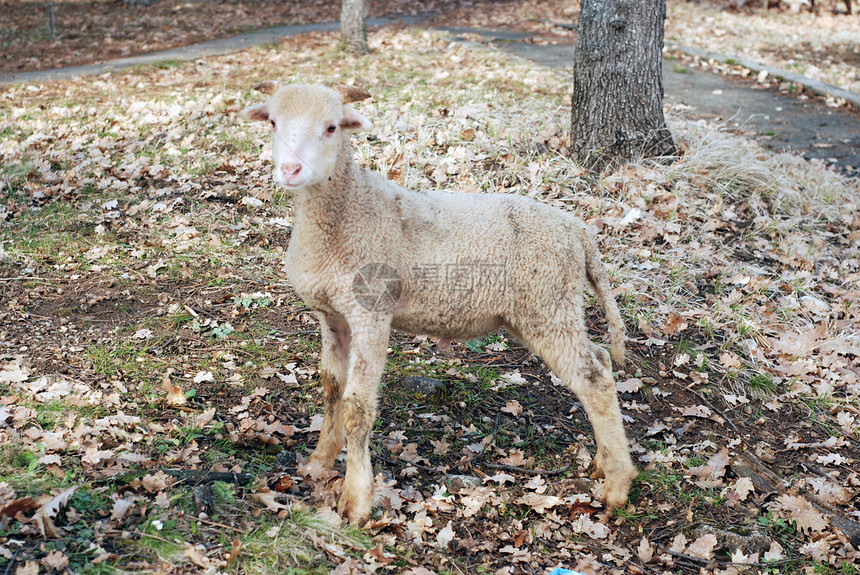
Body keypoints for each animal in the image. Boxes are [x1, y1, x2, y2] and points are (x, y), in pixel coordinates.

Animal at [239, 82, 636, 528]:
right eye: (273, 122)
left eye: (331, 127)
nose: (290, 169)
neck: (346, 211)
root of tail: (581, 233)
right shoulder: (333, 315)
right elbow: (331, 388)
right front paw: (320, 461)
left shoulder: (371, 312)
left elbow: (357, 407)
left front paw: (356, 500)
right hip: (549, 307)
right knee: (599, 361)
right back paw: (603, 462)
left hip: (547, 303)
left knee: (594, 378)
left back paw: (617, 485)